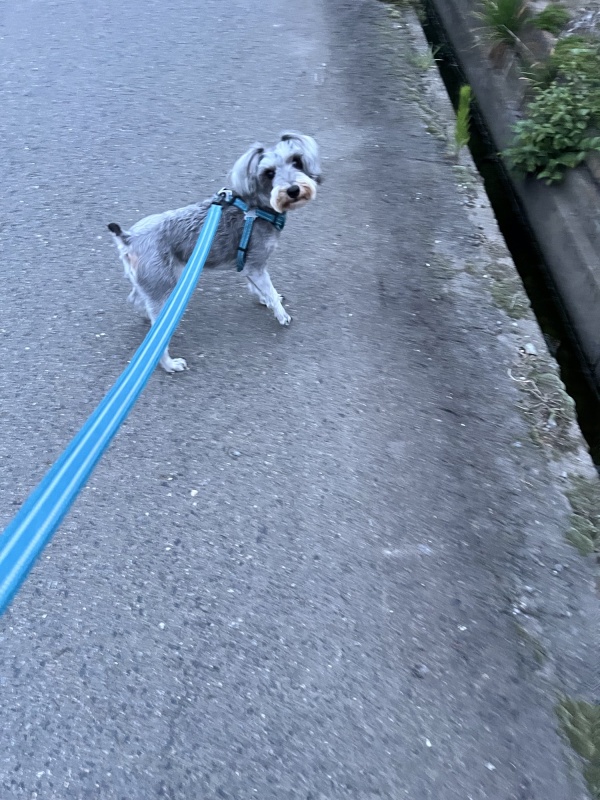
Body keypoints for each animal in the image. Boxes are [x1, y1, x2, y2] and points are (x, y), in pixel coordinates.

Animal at [108, 132, 321, 373]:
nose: (293, 190)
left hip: (151, 284)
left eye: (296, 161)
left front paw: (265, 299)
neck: (258, 208)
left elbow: (259, 289)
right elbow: (269, 290)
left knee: (137, 300)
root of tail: (128, 238)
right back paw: (170, 364)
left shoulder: (250, 266)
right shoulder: (257, 266)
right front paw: (281, 314)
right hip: (163, 288)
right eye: (269, 173)